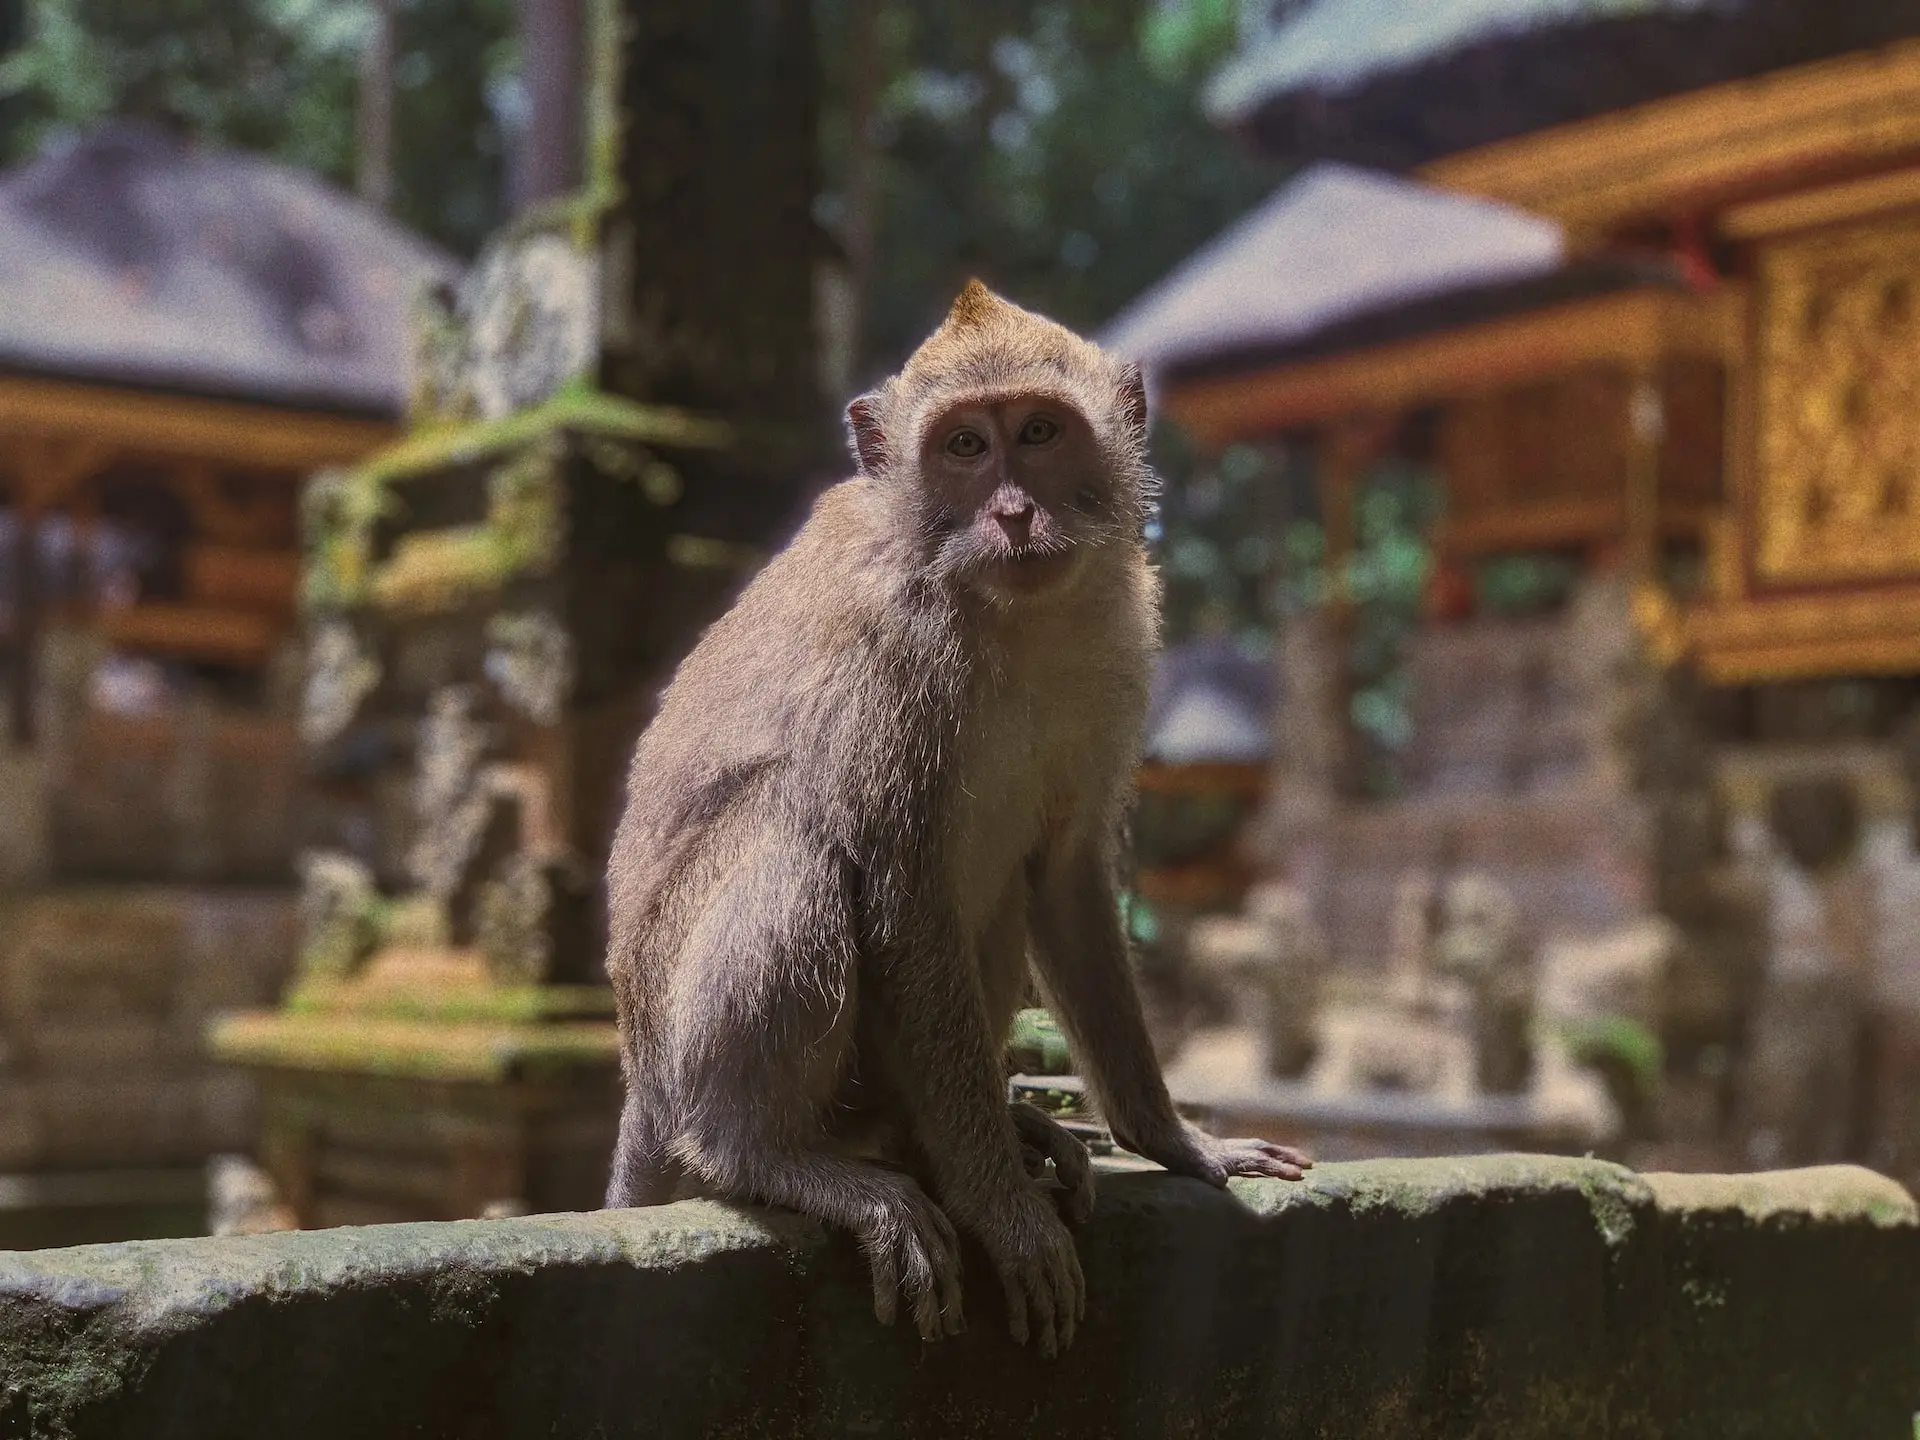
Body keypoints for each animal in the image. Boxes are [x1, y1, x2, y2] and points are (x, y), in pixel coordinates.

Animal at [602, 279, 1311, 1357]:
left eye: (1038, 432)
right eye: (966, 449)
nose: (1013, 513)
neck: (1004, 612)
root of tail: (639, 1075)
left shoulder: (1118, 641)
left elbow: (1065, 878)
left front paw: (1174, 1139)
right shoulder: (890, 655)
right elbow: (901, 897)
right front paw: (1002, 1212)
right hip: (676, 1031)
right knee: (798, 838)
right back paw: (772, 1158)